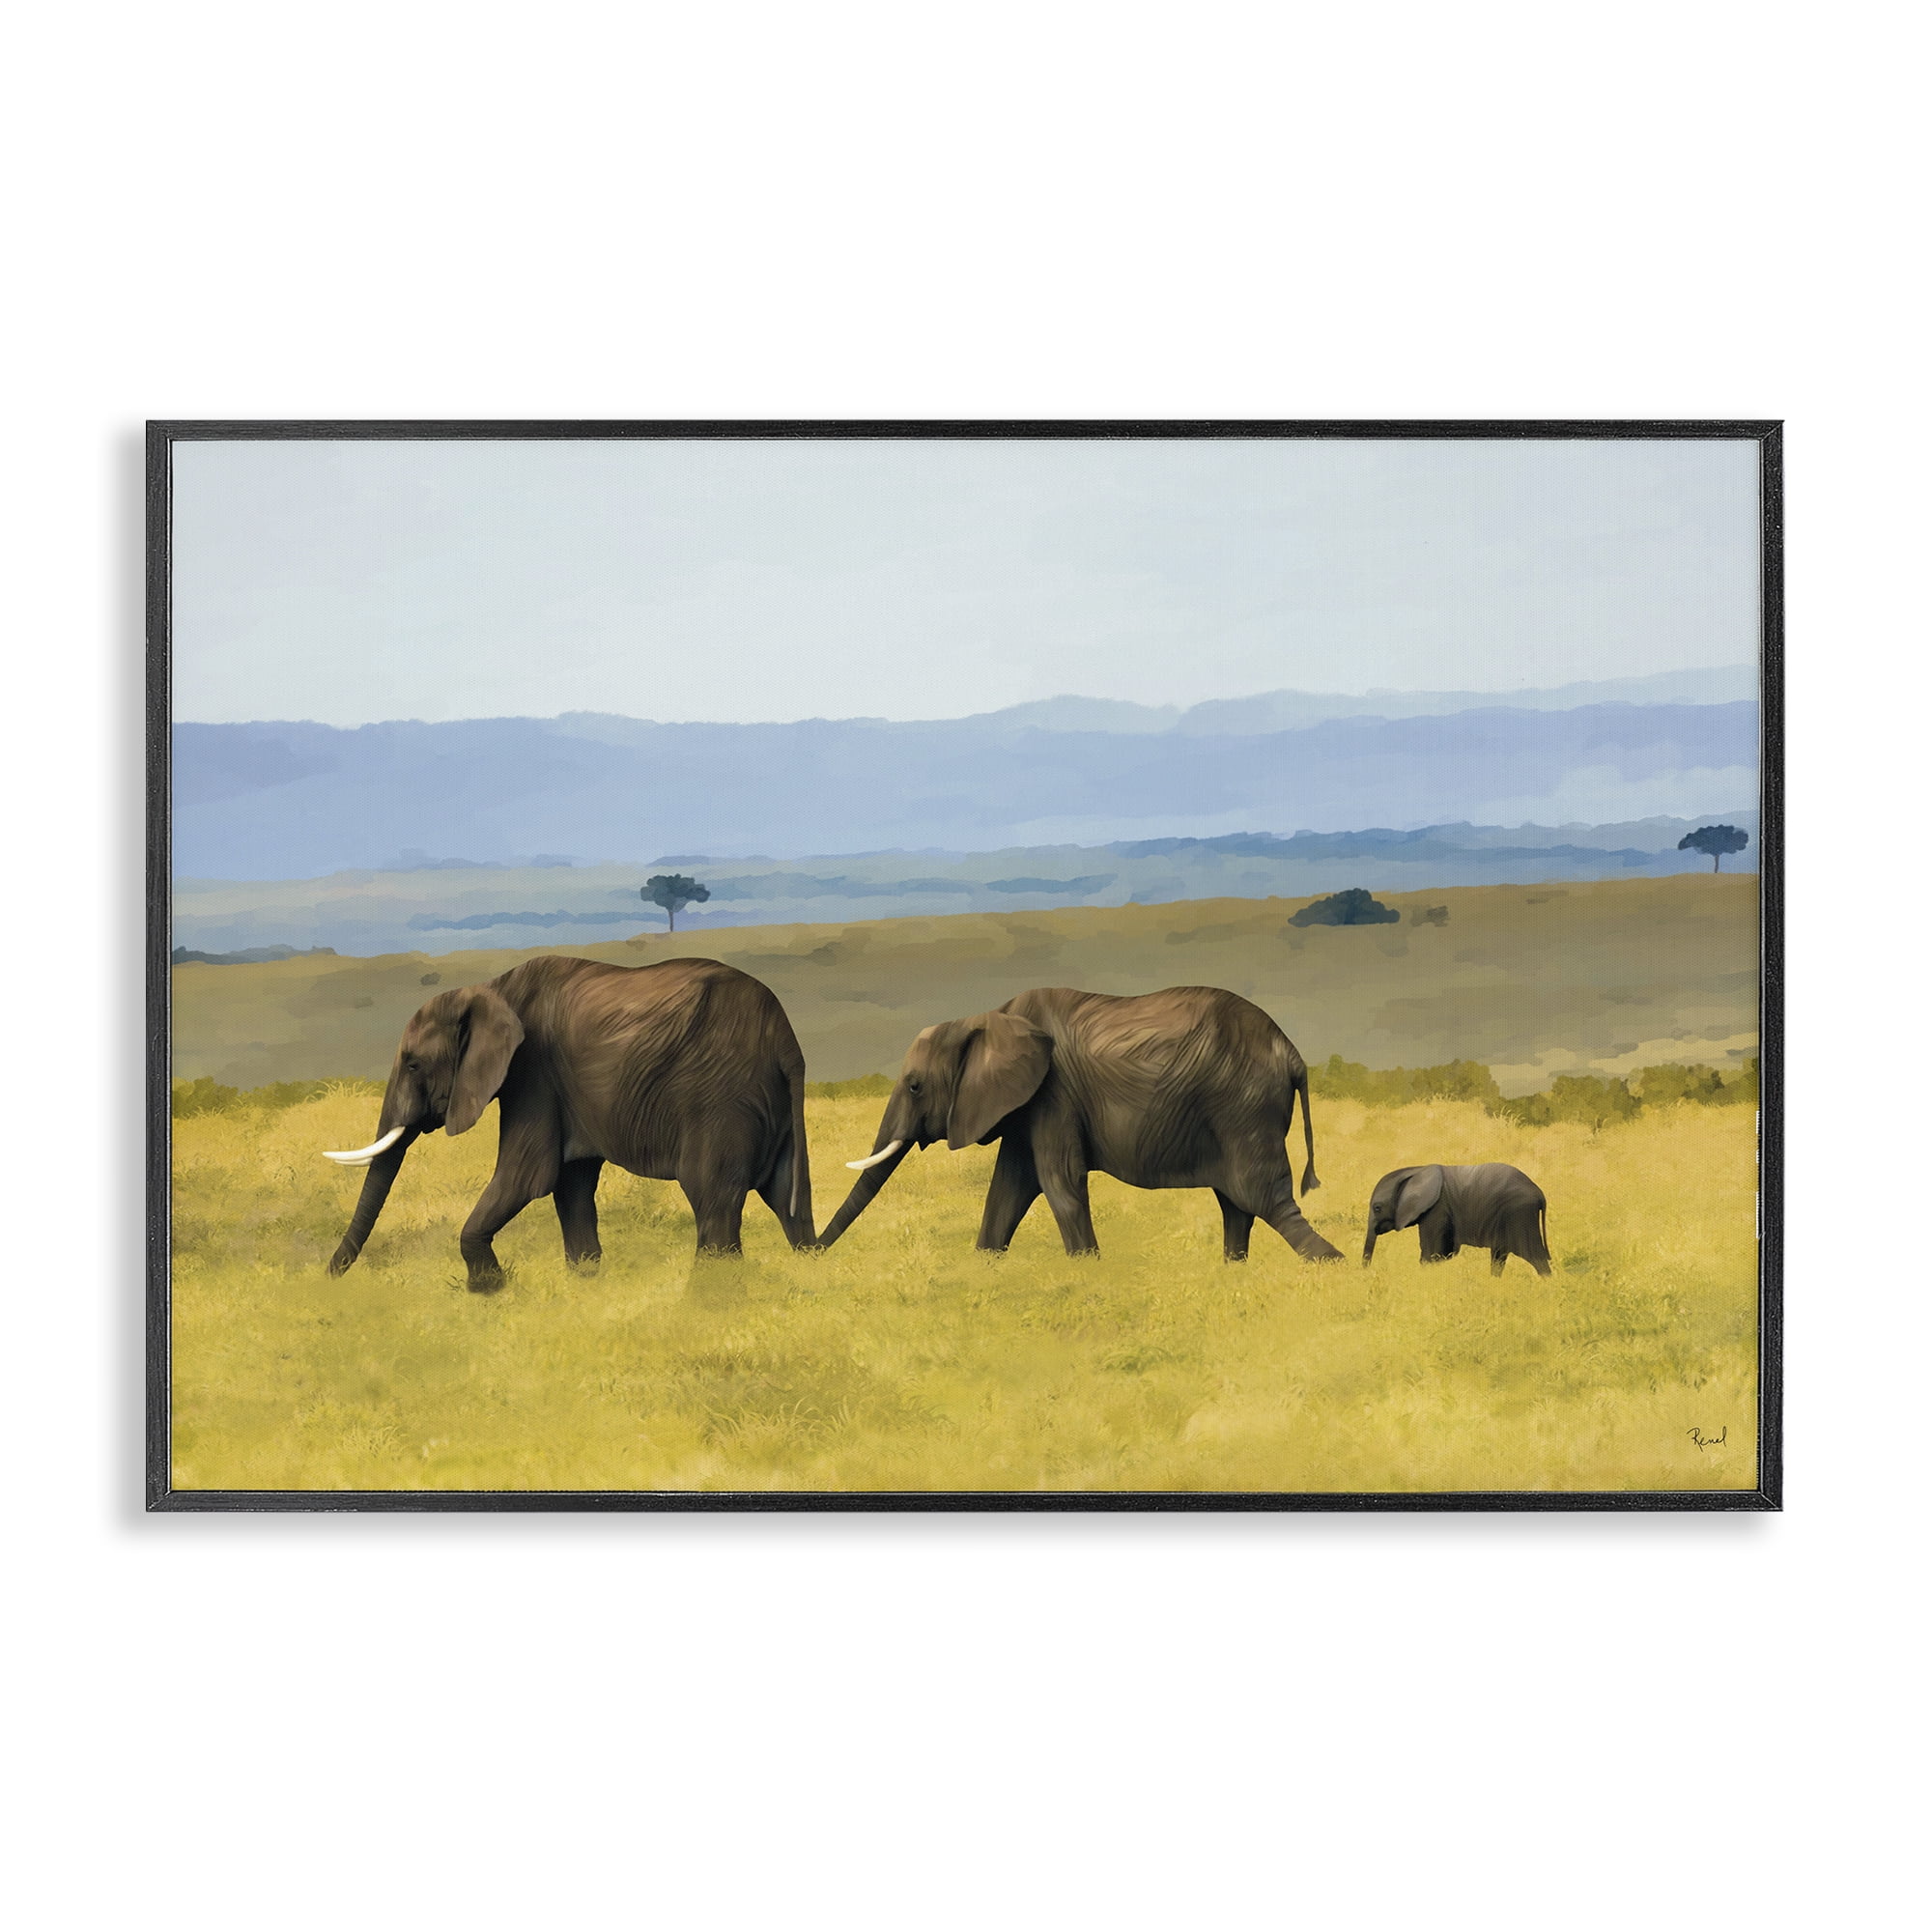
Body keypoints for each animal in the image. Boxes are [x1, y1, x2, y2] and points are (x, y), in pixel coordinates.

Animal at [322, 955, 814, 1289]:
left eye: (412, 1064)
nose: (326, 1278)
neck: (492, 988)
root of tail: (785, 1039)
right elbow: (570, 1184)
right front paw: (584, 1284)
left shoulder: (532, 1073)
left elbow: (527, 1175)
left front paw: (488, 1291)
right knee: (788, 1200)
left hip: (719, 1099)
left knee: (713, 1199)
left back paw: (709, 1298)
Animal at [815, 985, 1342, 1262]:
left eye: (915, 1086)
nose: (809, 1250)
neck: (987, 1017)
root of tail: (1292, 1053)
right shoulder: (1026, 1106)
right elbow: (1007, 1189)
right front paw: (985, 1263)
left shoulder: (1054, 1096)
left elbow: (1058, 1182)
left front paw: (1089, 1267)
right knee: (1237, 1204)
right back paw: (1233, 1269)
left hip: (1244, 1107)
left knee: (1263, 1199)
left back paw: (1334, 1267)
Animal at [1361, 1164, 1551, 1276]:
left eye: (1377, 1208)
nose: (1367, 1272)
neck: (1416, 1170)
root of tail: (1540, 1194)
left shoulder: (1437, 1208)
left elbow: (1432, 1253)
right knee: (1499, 1256)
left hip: (1519, 1214)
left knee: (1535, 1256)